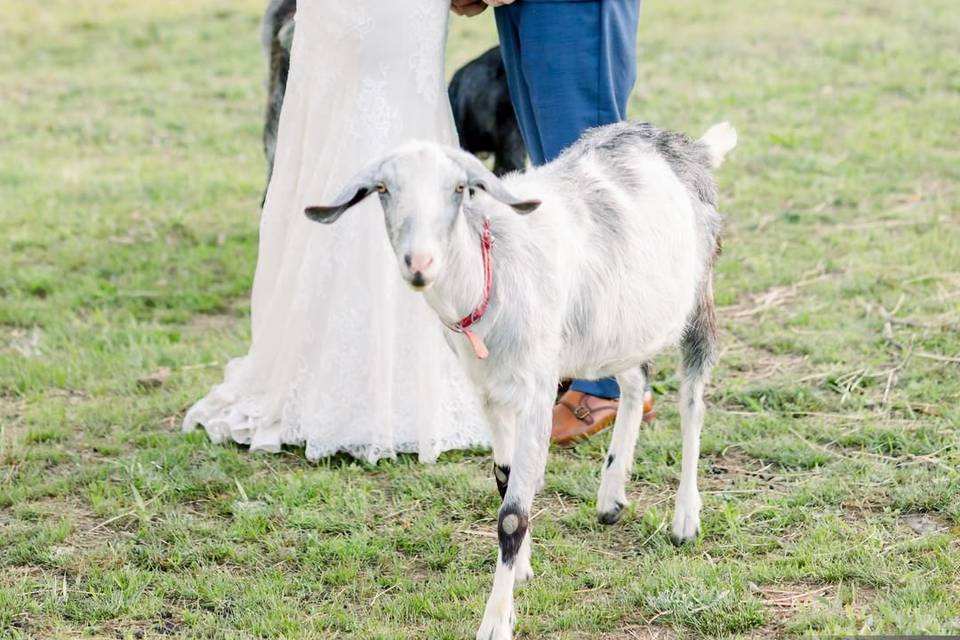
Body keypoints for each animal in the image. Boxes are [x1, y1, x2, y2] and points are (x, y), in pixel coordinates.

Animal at [304, 121, 740, 640]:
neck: (489, 273)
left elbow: (512, 515)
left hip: (697, 301)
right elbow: (505, 478)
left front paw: (496, 620)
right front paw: (523, 570)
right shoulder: (488, 390)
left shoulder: (536, 389)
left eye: (459, 188)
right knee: (637, 379)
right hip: (614, 325)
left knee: (692, 402)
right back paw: (611, 495)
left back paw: (685, 519)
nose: (420, 263)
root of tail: (690, 147)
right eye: (384, 190)